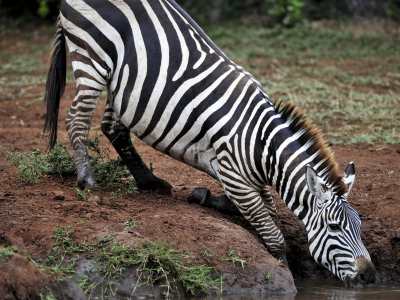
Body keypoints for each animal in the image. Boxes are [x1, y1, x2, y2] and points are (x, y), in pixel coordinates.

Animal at [43, 0, 376, 286]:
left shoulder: (243, 179)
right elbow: (273, 235)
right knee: (76, 120)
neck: (263, 147)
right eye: (334, 227)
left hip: (120, 80)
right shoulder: (234, 176)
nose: (370, 277)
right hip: (92, 58)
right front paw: (285, 271)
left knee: (113, 127)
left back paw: (150, 181)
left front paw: (202, 196)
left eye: (360, 226)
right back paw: (88, 181)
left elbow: (258, 207)